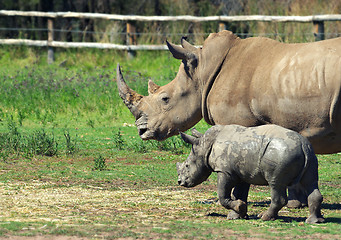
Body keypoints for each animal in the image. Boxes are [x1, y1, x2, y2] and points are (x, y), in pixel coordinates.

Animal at [177, 124, 322, 224]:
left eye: (187, 166)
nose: (180, 182)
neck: (204, 146)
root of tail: (303, 145)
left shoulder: (224, 171)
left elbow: (223, 195)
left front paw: (239, 208)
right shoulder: (242, 173)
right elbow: (238, 193)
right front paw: (238, 214)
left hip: (282, 154)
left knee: (275, 184)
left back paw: (264, 217)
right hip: (310, 154)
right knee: (311, 183)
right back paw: (314, 221)